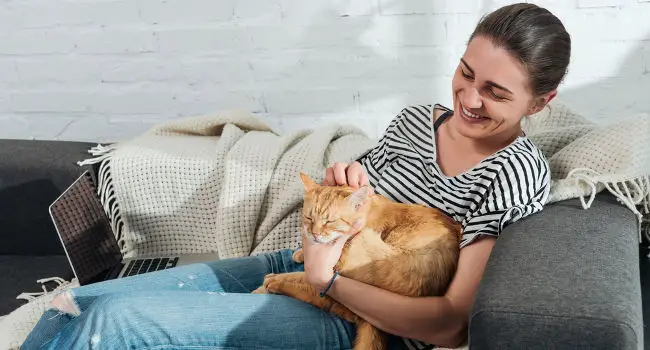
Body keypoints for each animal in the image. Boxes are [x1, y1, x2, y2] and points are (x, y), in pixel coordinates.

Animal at [253, 173, 460, 350]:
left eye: (330, 221)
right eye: (309, 217)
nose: (316, 233)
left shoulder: (334, 266)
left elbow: (302, 275)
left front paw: (274, 280)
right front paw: (301, 253)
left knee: (316, 295)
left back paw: (272, 284)